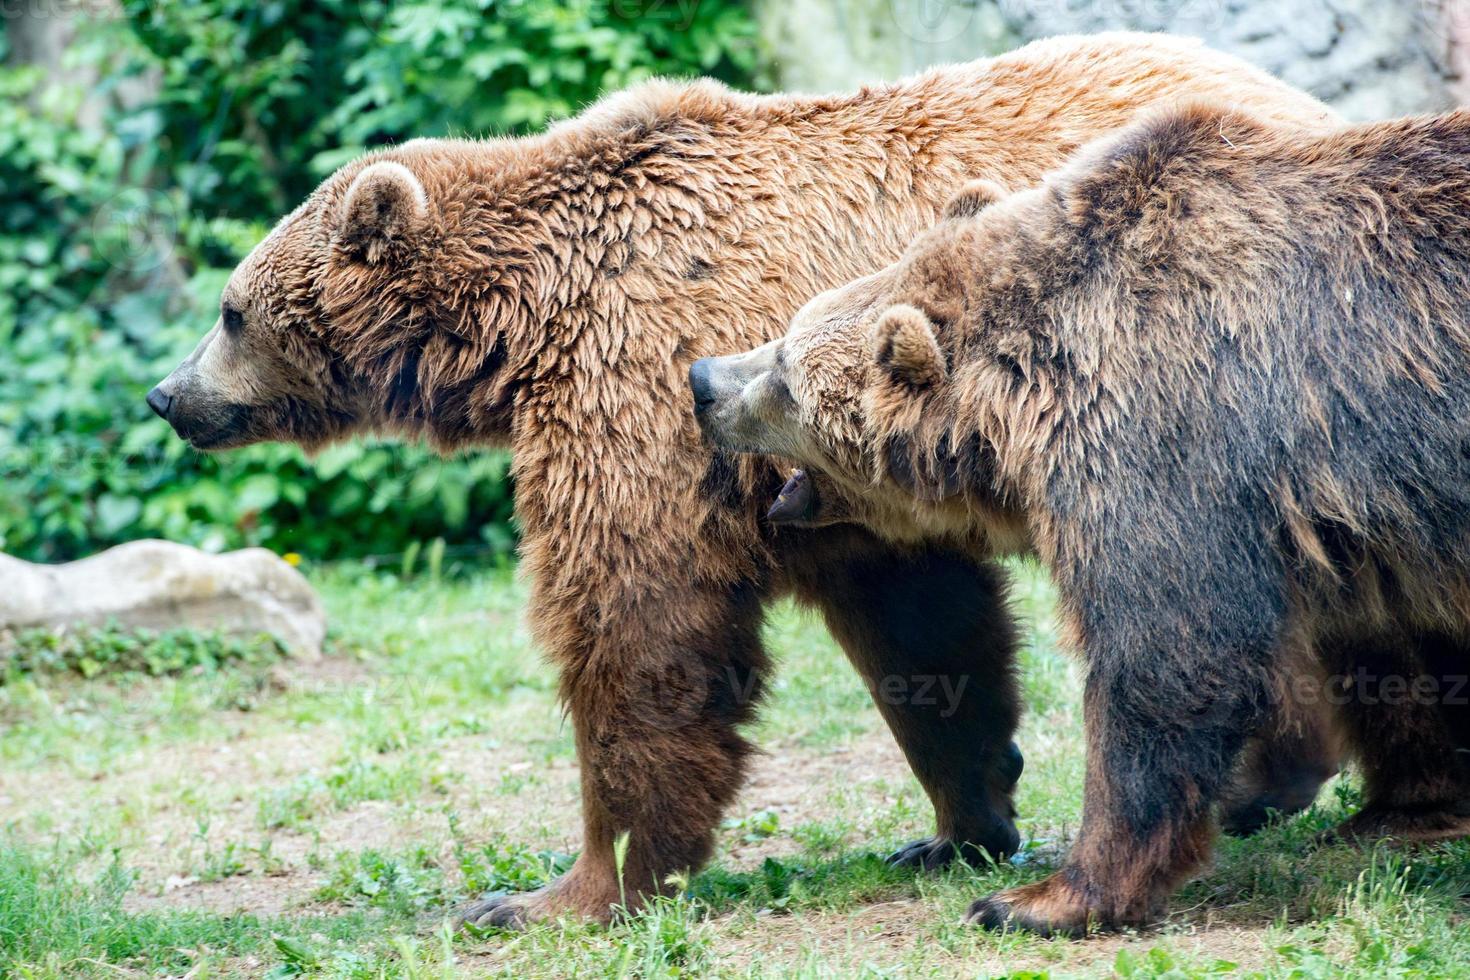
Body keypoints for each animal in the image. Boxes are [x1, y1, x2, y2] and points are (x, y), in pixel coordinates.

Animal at [152, 32, 1346, 928]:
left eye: (230, 309)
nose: (169, 395)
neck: (521, 321)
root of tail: (1303, 101)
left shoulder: (642, 387)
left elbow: (639, 625)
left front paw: (566, 886)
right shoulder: (834, 476)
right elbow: (924, 625)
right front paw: (959, 818)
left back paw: (1266, 777)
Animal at [690, 103, 1470, 940]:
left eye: (785, 375)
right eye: (787, 331)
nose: (703, 380)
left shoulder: (1165, 438)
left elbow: (1165, 657)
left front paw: (1041, 898)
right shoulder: (1378, 508)